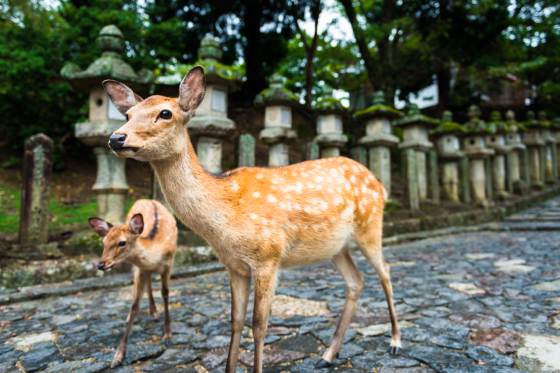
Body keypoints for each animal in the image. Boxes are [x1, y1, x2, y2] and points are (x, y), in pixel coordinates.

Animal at [88, 199, 177, 368]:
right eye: (103, 242)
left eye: (122, 242)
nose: (101, 265)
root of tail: (148, 200)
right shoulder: (141, 269)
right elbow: (135, 305)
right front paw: (118, 356)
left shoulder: (169, 264)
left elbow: (165, 293)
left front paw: (168, 336)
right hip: (137, 268)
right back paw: (144, 314)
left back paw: (155, 313)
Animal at [103, 66, 400, 370]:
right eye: (127, 115)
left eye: (165, 113)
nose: (116, 138)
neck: (225, 220)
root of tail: (380, 185)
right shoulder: (234, 266)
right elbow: (235, 322)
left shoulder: (268, 257)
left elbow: (258, 325)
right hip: (335, 247)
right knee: (356, 281)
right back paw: (328, 356)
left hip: (370, 226)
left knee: (386, 272)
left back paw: (395, 342)